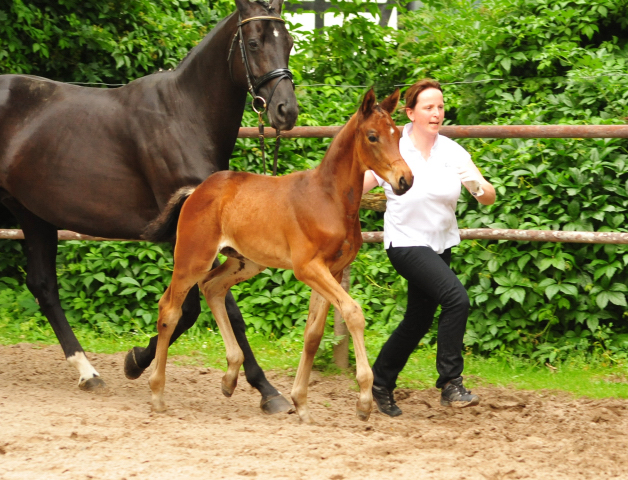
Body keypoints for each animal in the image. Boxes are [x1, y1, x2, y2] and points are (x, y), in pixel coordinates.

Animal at [145, 88, 414, 422]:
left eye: (398, 134)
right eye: (373, 136)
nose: (405, 180)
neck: (329, 199)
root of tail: (196, 191)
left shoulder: (333, 270)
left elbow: (313, 335)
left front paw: (301, 403)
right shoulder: (308, 268)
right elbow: (353, 313)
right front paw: (363, 401)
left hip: (245, 262)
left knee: (212, 288)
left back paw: (229, 376)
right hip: (193, 257)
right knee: (169, 308)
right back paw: (157, 393)